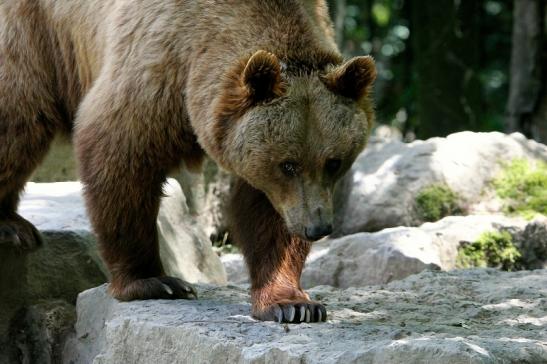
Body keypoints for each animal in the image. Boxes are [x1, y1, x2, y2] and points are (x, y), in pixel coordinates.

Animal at [0, 0, 376, 324]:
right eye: (288, 164)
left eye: (333, 162)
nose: (318, 227)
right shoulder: (159, 64)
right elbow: (120, 155)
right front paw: (154, 281)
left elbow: (267, 211)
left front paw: (292, 303)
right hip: (31, 34)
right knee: (18, 118)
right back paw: (12, 226)